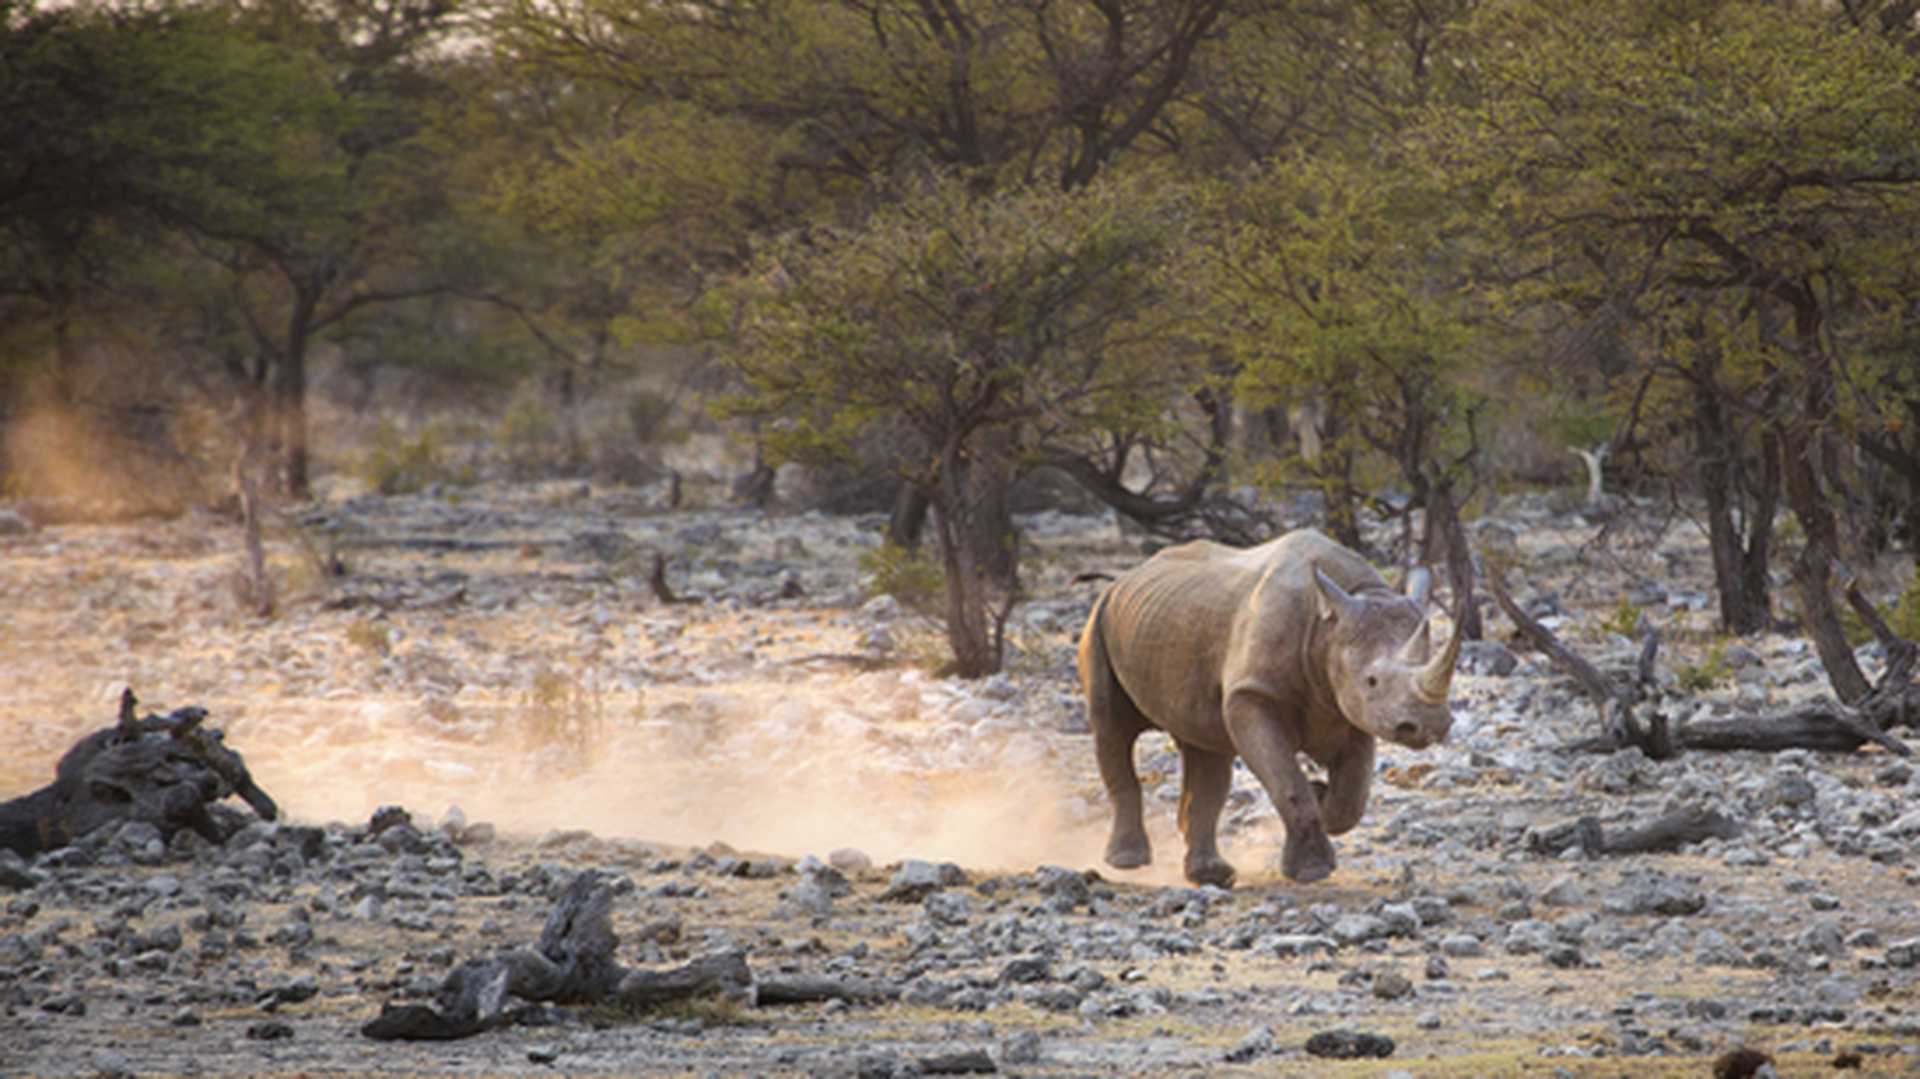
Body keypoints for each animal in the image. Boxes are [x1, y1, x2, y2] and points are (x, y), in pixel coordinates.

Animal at [1076, 529, 1461, 887]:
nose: (1428, 726)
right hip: (1099, 621)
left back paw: (1211, 875)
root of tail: (1125, 577)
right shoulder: (1252, 694)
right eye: (1371, 681)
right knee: (1112, 728)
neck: (1329, 629)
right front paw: (1311, 870)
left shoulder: (1350, 710)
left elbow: (1352, 798)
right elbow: (1288, 782)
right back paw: (1127, 861)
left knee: (1204, 750)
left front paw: (1322, 796)